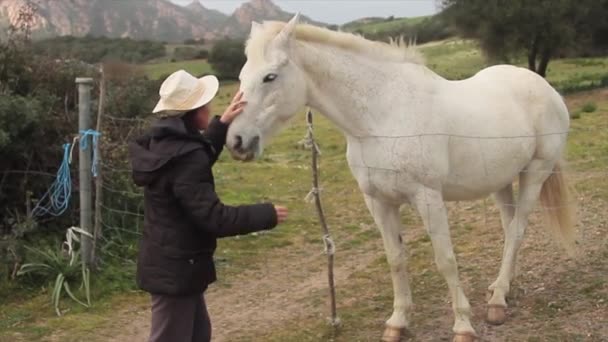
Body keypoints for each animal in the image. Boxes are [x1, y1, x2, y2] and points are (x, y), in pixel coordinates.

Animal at [226, 14, 576, 340]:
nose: (236, 141)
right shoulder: (378, 201)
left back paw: (498, 300)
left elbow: (445, 259)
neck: (382, 116)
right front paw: (397, 322)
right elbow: (395, 259)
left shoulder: (428, 197)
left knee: (517, 230)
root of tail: (542, 85)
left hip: (536, 172)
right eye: (241, 77)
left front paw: (462, 326)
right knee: (508, 227)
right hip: (501, 180)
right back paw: (500, 289)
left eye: (270, 76)